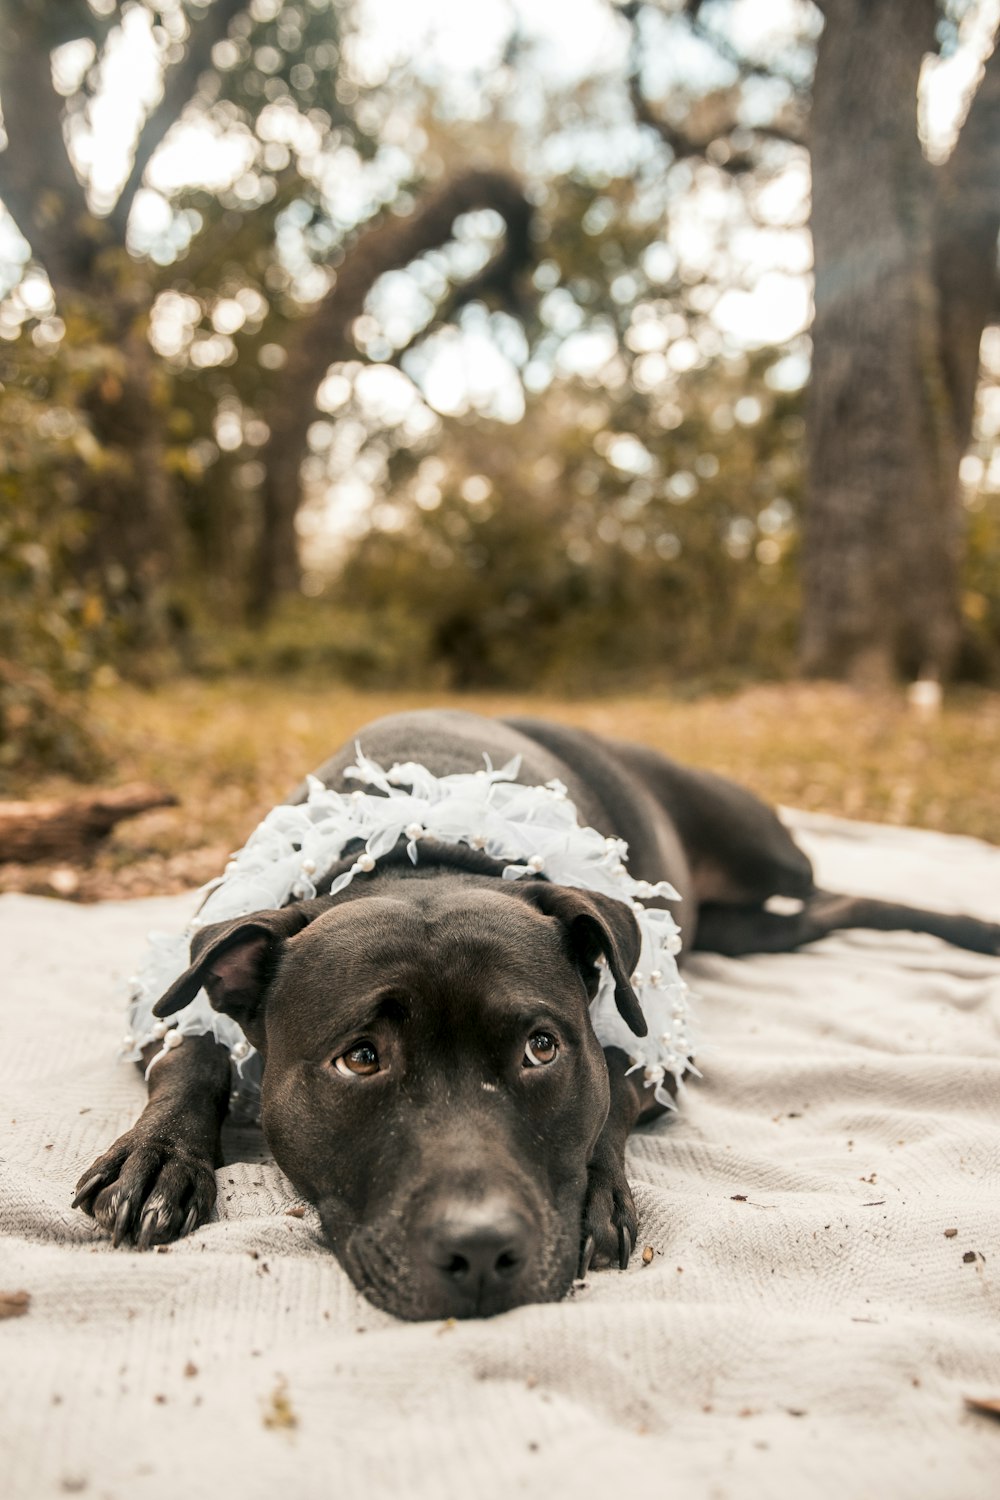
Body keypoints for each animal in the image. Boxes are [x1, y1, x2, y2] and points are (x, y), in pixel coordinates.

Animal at [72, 708, 1000, 1320]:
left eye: (542, 1049)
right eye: (360, 1059)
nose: (483, 1251)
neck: (418, 858)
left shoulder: (646, 1038)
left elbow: (610, 1097)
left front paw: (591, 1198)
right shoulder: (184, 988)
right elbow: (192, 1053)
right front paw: (157, 1159)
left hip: (766, 851)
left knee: (832, 890)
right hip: (755, 923)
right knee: (823, 912)